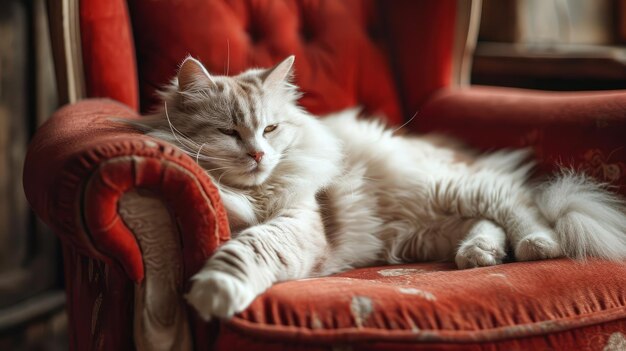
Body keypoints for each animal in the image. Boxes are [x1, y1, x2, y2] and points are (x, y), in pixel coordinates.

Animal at [130, 55, 624, 322]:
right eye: (228, 132)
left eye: (270, 129)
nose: (258, 155)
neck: (253, 192)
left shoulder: (298, 220)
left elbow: (248, 249)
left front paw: (214, 290)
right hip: (422, 231)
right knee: (486, 222)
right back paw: (479, 255)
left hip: (444, 186)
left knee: (518, 204)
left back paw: (537, 244)